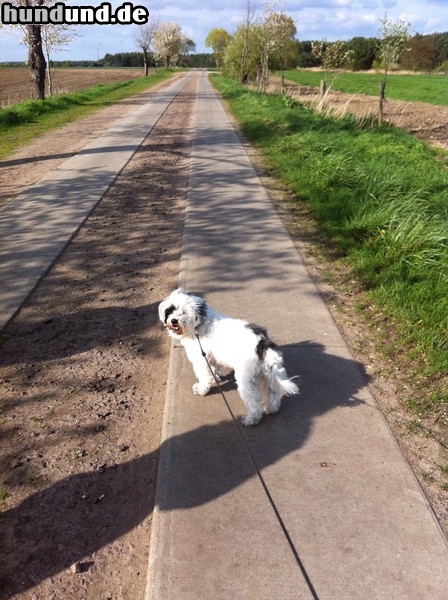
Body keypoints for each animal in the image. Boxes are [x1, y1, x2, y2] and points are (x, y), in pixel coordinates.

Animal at [159, 290, 300, 426]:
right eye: (171, 310)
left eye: (183, 312)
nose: (174, 321)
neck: (199, 324)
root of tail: (261, 341)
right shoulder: (210, 357)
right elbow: (213, 370)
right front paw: (215, 378)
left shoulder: (200, 359)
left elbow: (204, 377)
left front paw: (201, 389)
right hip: (265, 373)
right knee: (273, 393)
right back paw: (271, 409)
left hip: (246, 379)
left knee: (254, 403)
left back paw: (251, 420)